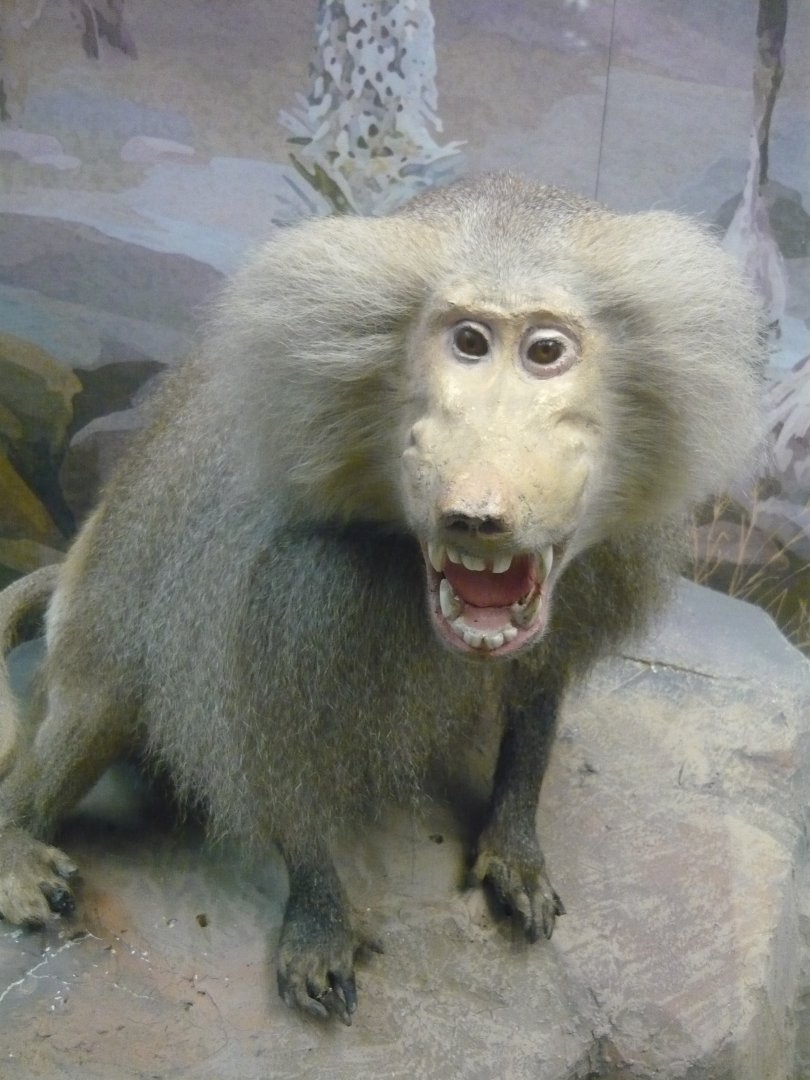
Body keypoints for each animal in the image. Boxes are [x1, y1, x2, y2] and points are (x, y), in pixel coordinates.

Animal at [0, 174, 764, 1024]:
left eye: (545, 351)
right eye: (468, 342)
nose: (478, 511)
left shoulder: (597, 569)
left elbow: (537, 692)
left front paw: (513, 846)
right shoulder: (296, 586)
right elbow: (275, 736)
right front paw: (318, 920)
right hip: (94, 617)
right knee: (94, 706)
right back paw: (15, 846)